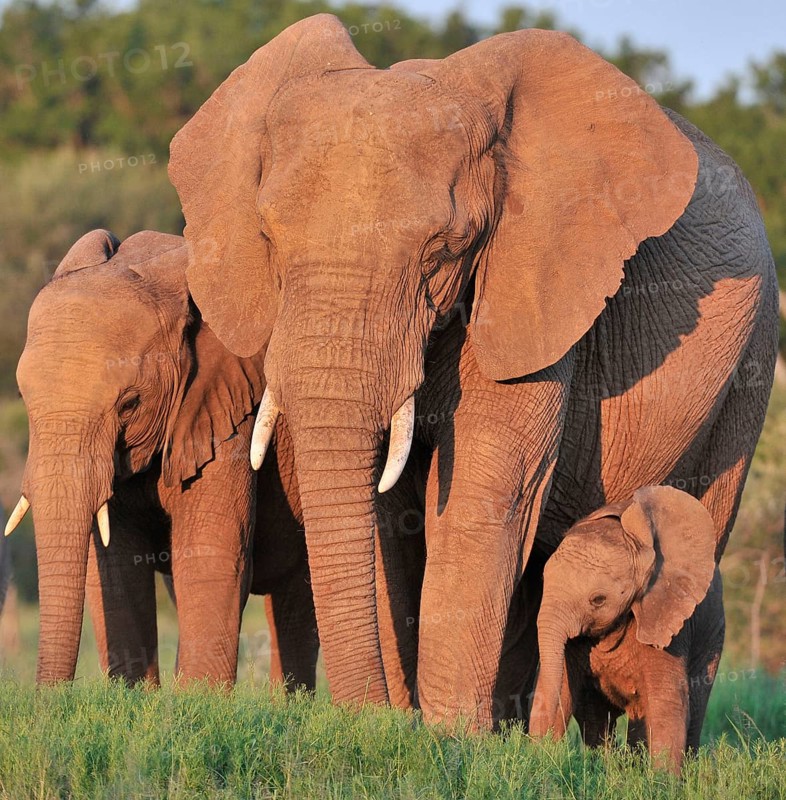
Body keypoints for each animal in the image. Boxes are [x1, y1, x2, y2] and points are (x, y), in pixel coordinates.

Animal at [7, 229, 318, 687]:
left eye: (129, 404)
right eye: (23, 397)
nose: (49, 697)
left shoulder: (226, 412)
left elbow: (210, 556)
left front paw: (200, 699)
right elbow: (117, 569)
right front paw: (131, 696)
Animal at [166, 14, 778, 726]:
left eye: (445, 249)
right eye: (267, 236)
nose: (363, 713)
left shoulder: (529, 288)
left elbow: (481, 495)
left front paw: (444, 737)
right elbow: (389, 518)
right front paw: (412, 729)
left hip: (751, 358)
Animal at [530, 486, 722, 773]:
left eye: (598, 600)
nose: (540, 751)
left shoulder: (669, 616)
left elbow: (667, 701)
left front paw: (662, 781)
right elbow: (561, 688)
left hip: (712, 638)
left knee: (692, 707)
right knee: (597, 717)